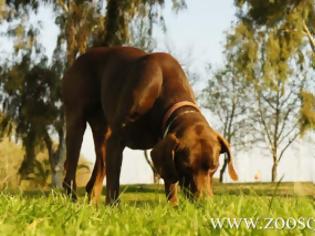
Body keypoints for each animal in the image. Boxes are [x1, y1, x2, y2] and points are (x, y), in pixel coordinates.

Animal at [63, 46, 238, 205]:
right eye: (185, 167)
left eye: (214, 167)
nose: (204, 203)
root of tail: (79, 58)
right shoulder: (116, 140)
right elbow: (114, 183)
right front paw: (114, 208)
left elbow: (170, 182)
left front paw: (173, 207)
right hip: (77, 123)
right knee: (71, 167)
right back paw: (72, 199)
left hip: (102, 132)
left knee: (97, 173)